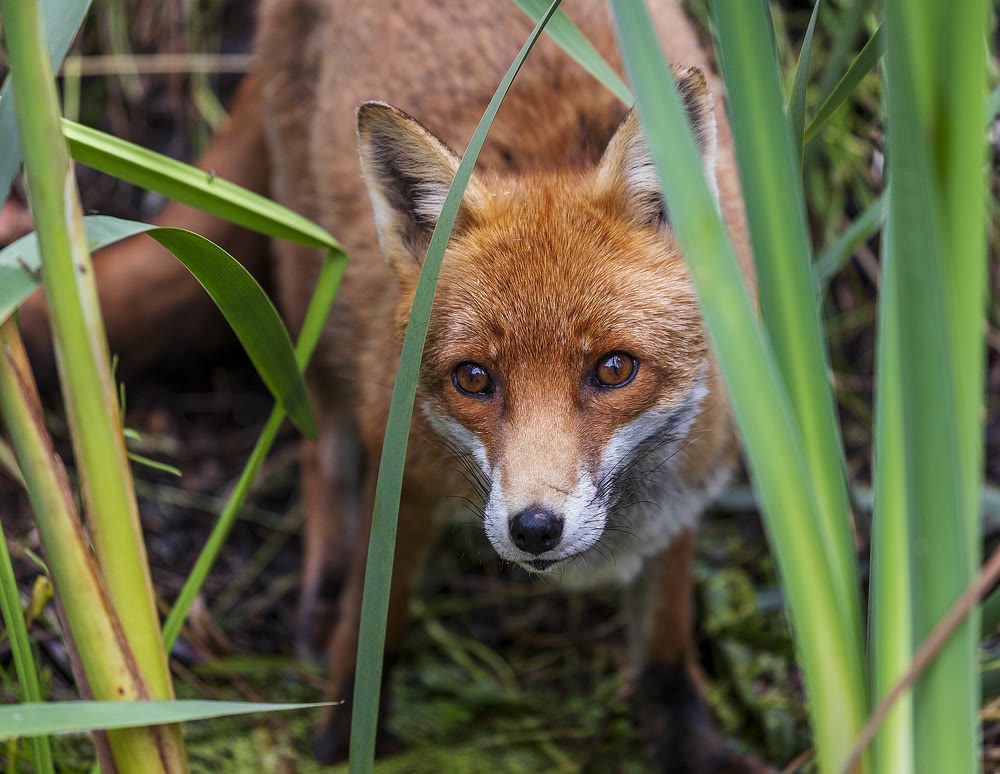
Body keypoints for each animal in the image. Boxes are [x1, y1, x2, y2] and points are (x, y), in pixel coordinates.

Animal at [18, 0, 764, 769]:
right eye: (474, 377)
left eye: (614, 369)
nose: (533, 529)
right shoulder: (401, 482)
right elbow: (373, 623)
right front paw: (349, 725)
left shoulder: (684, 499)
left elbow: (666, 648)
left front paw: (693, 744)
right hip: (307, 286)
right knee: (321, 449)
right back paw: (322, 588)